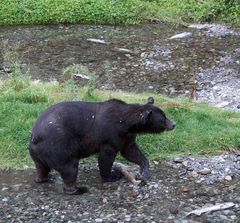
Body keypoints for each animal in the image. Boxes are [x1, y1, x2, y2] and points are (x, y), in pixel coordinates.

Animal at [29, 96, 176, 194]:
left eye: (165, 115)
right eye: (163, 119)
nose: (174, 124)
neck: (126, 123)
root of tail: (36, 136)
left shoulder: (127, 137)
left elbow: (131, 152)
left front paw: (144, 172)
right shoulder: (110, 134)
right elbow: (107, 156)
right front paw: (112, 175)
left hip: (37, 152)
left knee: (42, 166)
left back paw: (43, 178)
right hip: (58, 145)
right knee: (69, 167)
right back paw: (77, 189)